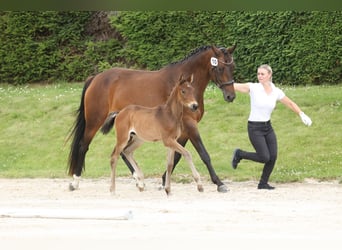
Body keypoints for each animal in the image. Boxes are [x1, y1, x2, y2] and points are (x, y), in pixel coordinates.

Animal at [68, 44, 236, 192]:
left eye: (233, 67)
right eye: (220, 68)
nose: (231, 96)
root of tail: (95, 78)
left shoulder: (181, 131)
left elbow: (176, 156)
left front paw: (163, 181)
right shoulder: (190, 125)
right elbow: (203, 154)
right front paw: (219, 183)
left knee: (123, 151)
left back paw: (139, 181)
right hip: (94, 122)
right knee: (83, 146)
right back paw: (75, 182)